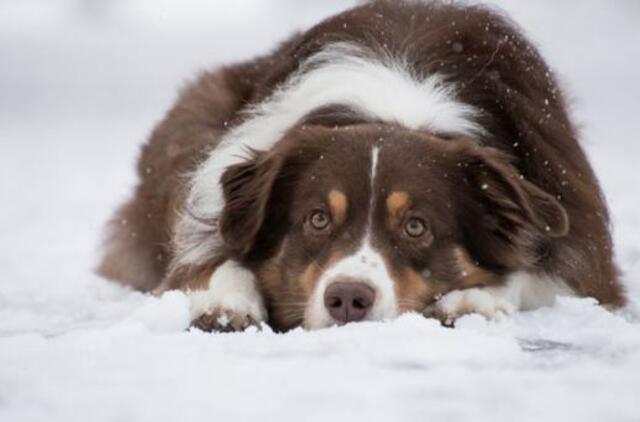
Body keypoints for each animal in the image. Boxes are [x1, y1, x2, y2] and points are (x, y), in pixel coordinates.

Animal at [99, 0, 624, 332]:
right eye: (317, 219)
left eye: (415, 226)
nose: (348, 298)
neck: (395, 109)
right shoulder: (218, 196)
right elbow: (213, 259)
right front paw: (227, 302)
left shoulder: (584, 247)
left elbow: (535, 271)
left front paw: (473, 298)